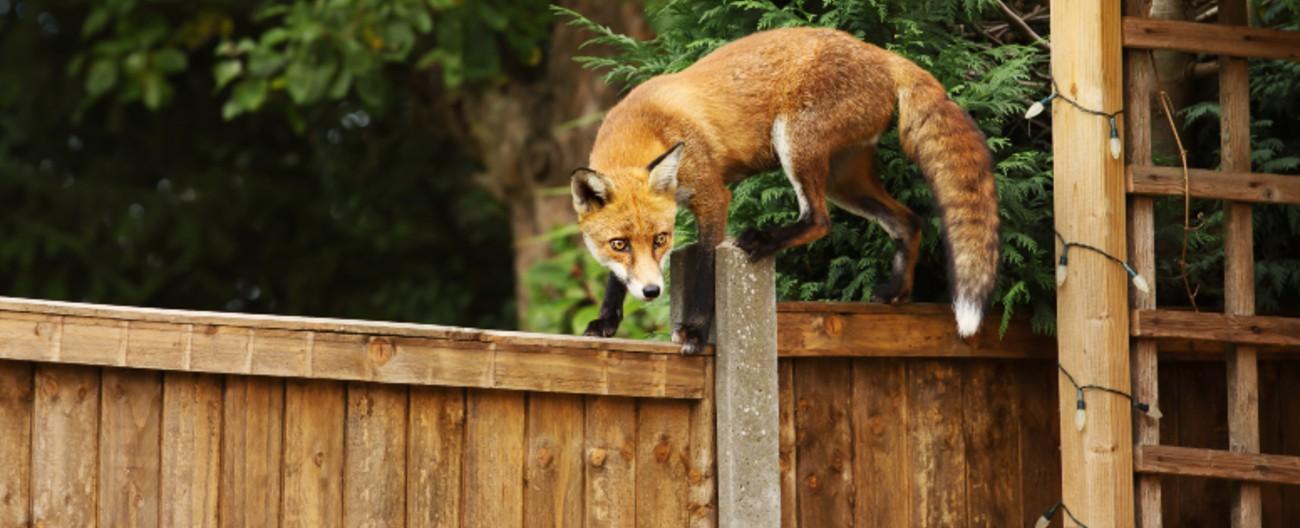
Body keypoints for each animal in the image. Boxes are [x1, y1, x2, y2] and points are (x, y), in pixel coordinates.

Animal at [574, 26, 998, 353]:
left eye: (661, 239)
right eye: (619, 244)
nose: (651, 292)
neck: (648, 125)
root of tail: (881, 53)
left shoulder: (714, 198)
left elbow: (705, 270)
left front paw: (694, 330)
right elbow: (615, 277)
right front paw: (606, 320)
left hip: (795, 145)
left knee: (820, 220)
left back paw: (762, 240)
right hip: (843, 180)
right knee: (907, 221)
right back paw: (897, 291)